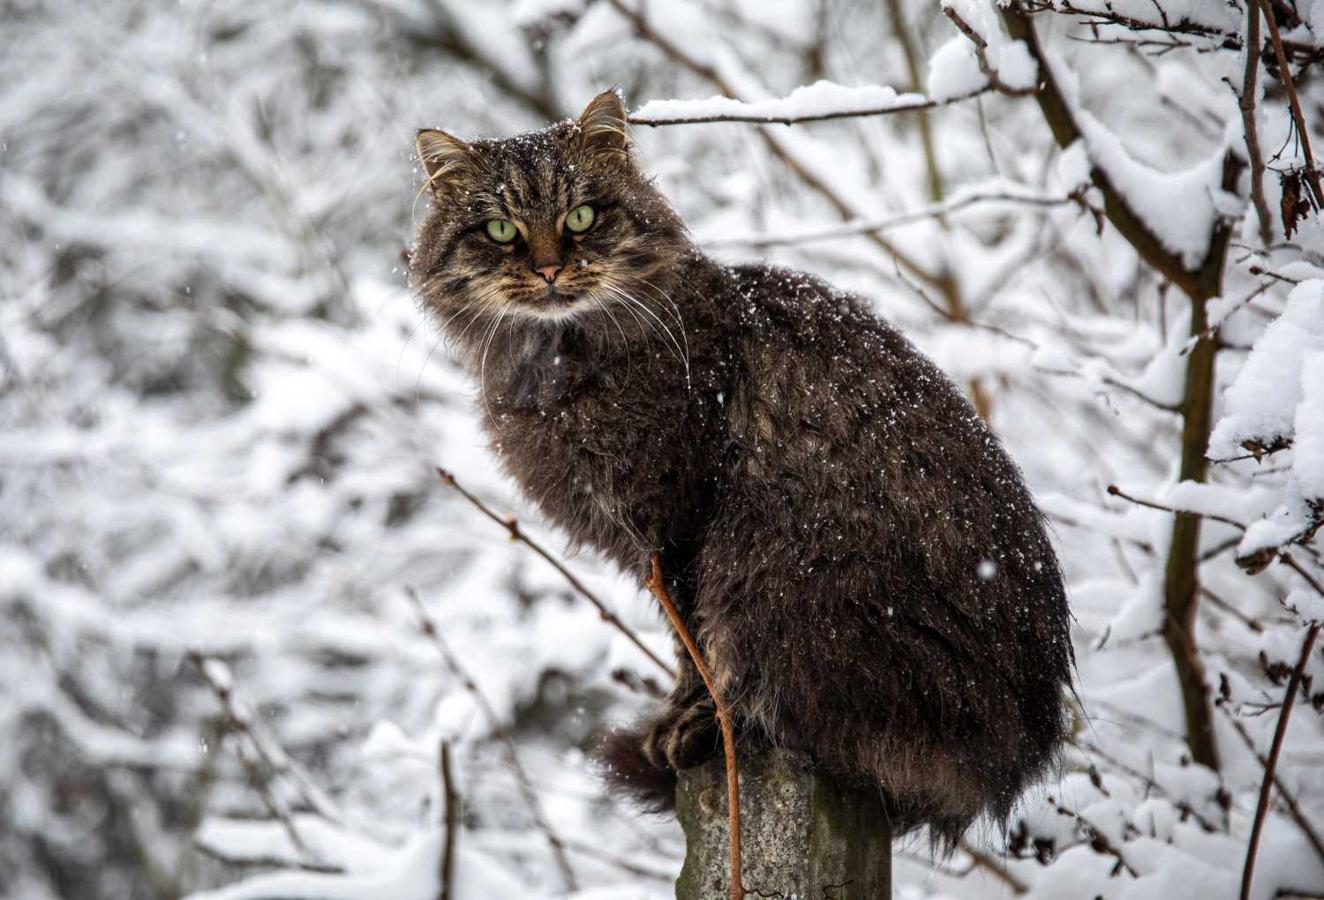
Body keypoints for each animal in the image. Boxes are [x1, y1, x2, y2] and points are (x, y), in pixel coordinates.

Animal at [410, 91, 1075, 841]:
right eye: (499, 229)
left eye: (581, 216)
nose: (549, 268)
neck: (554, 362)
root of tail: (1007, 767)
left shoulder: (678, 521)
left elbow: (692, 648)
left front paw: (688, 717)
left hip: (781, 565)